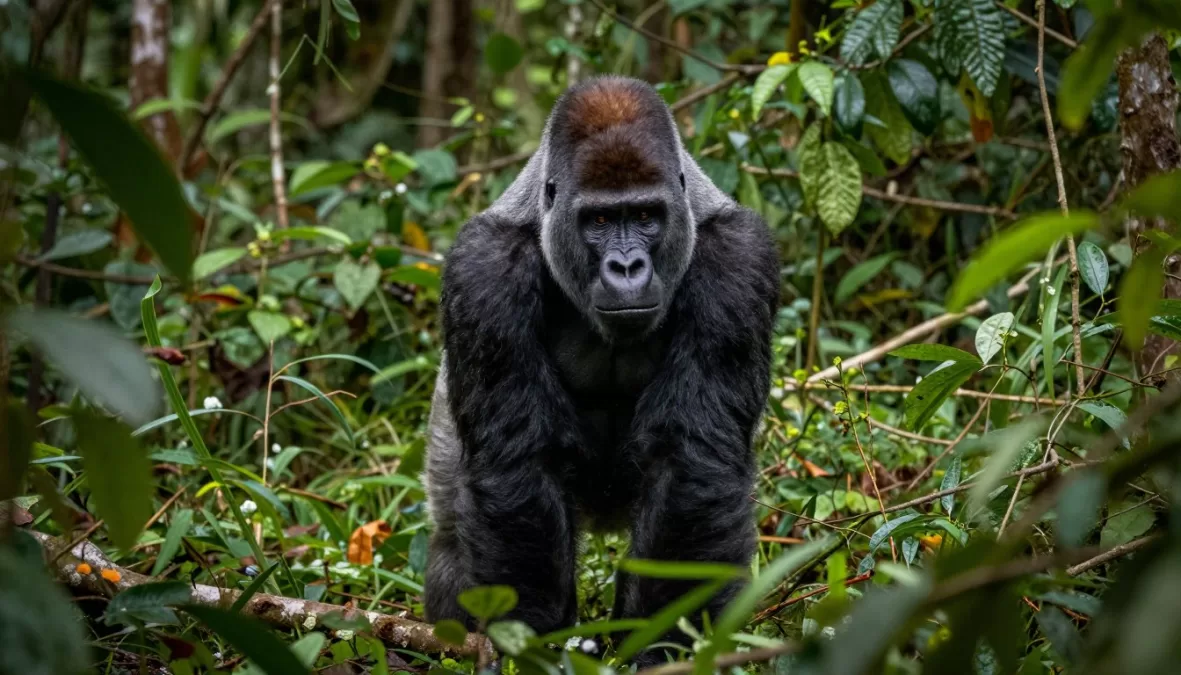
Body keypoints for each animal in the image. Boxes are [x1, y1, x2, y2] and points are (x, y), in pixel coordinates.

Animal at [422, 75, 779, 667]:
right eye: (601, 220)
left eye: (646, 217)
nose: (627, 267)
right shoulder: (484, 270)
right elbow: (520, 464)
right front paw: (536, 648)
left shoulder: (739, 259)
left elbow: (691, 457)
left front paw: (661, 649)